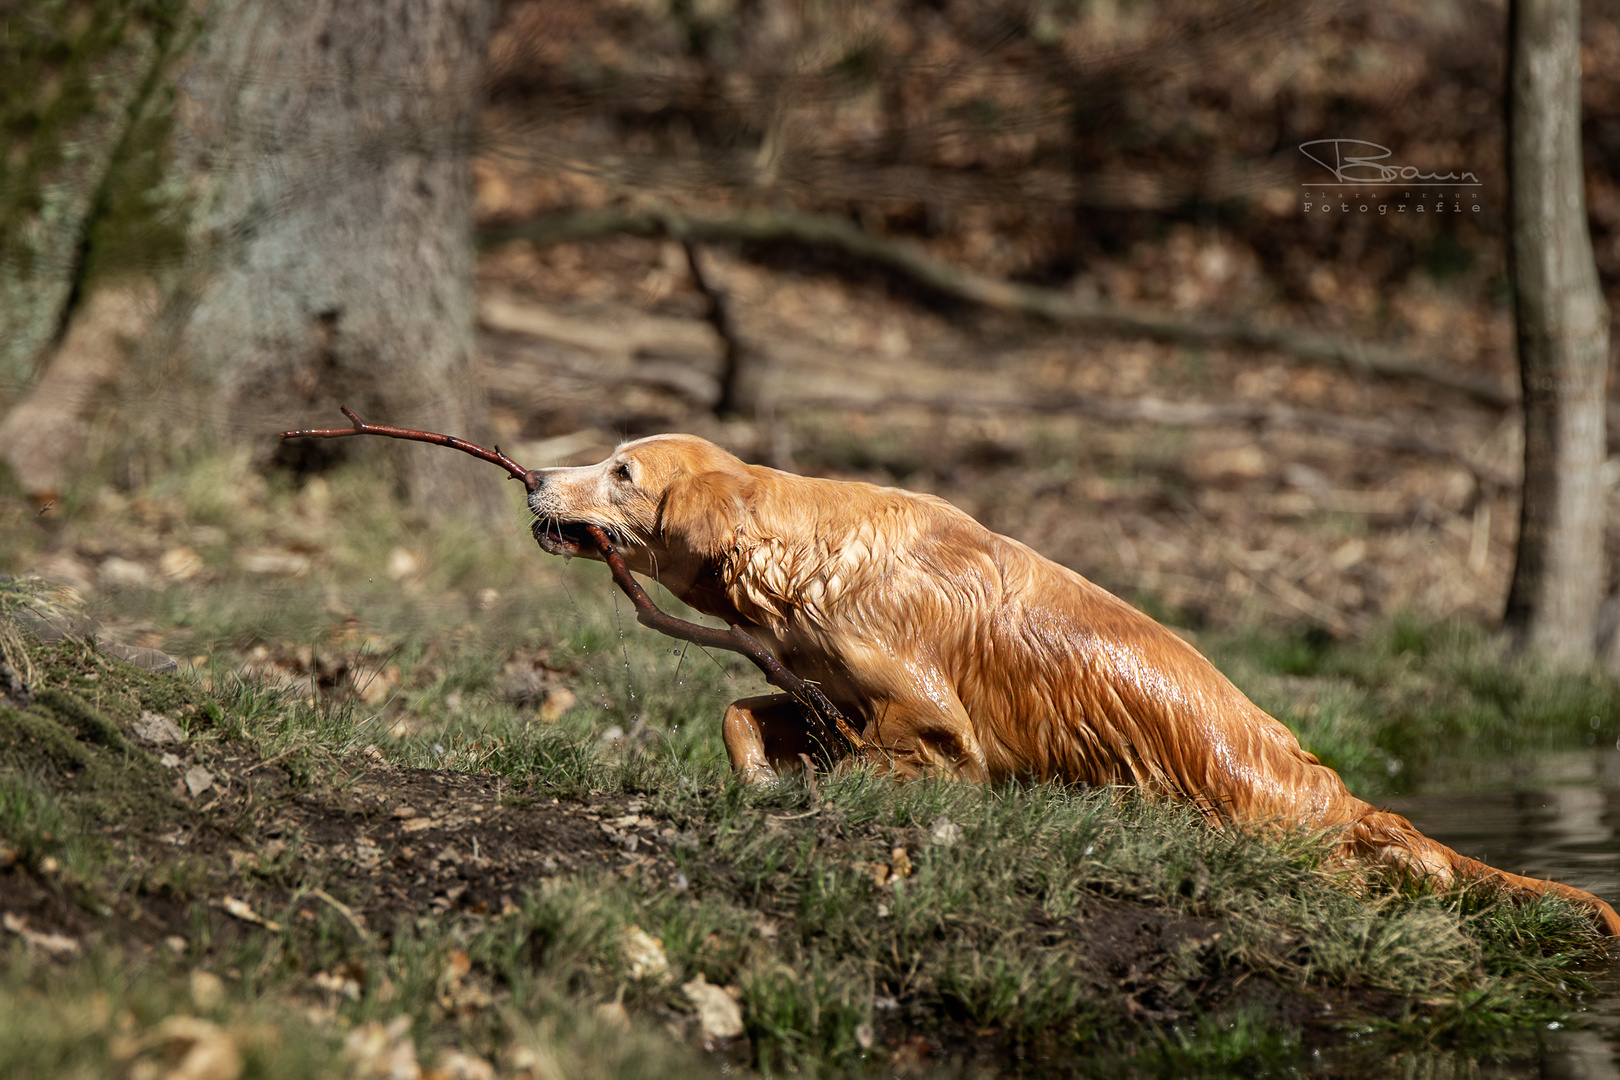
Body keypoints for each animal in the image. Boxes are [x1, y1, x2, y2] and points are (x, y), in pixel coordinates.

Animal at [531, 433, 1620, 939]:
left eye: (621, 470)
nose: (535, 474)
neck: (809, 560)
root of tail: (1334, 793)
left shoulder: (931, 723)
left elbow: (892, 761)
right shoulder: (825, 691)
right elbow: (742, 712)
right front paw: (759, 782)